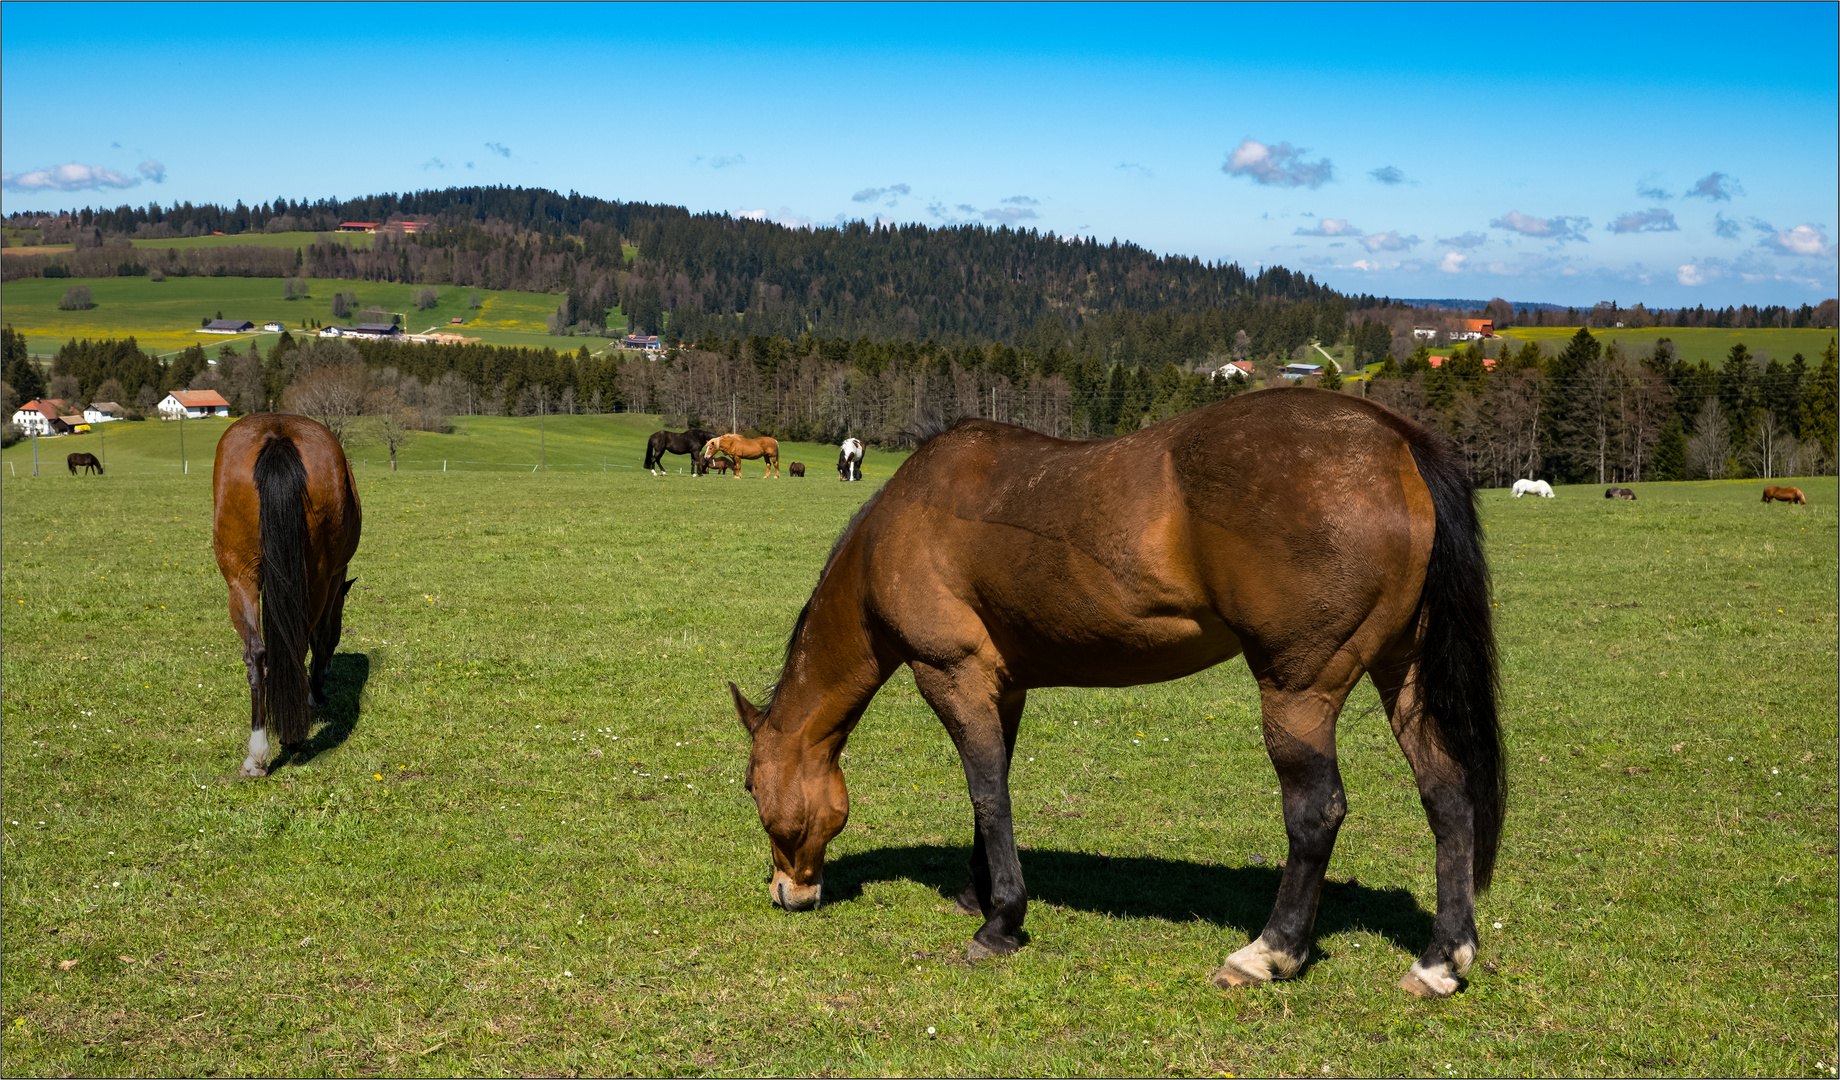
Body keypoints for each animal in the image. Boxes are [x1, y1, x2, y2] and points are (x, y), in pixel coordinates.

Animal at [213, 413, 360, 776]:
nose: (331, 670)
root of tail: (278, 434)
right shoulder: (334, 578)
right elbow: (323, 635)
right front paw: (315, 692)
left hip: (240, 578)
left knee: (256, 654)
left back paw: (257, 754)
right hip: (317, 578)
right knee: (302, 641)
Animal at [724, 386, 1501, 1000]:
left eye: (752, 787)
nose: (787, 892)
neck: (904, 521)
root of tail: (1394, 440)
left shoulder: (952, 673)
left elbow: (988, 792)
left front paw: (1000, 921)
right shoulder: (1004, 688)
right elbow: (992, 786)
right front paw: (978, 891)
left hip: (1298, 690)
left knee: (1318, 814)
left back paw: (1269, 953)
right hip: (1403, 676)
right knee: (1448, 796)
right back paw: (1440, 960)